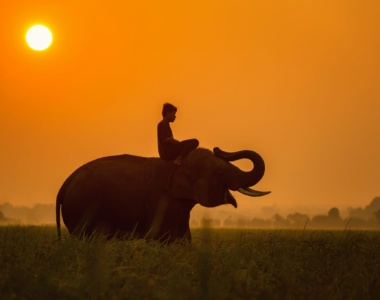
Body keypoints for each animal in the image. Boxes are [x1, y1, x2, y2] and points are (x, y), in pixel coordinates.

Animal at [55, 148, 270, 244]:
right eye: (220, 174)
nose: (218, 149)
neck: (179, 163)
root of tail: (64, 185)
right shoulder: (164, 200)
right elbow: (165, 237)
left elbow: (184, 238)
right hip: (83, 206)